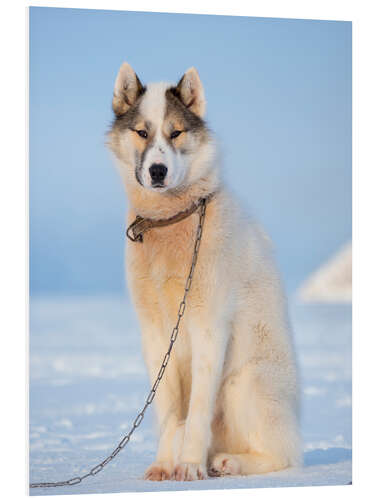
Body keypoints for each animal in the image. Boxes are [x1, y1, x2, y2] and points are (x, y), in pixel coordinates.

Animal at [106, 62, 302, 480]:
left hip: (244, 383)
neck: (172, 220)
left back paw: (227, 461)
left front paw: (189, 466)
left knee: (286, 456)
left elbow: (195, 412)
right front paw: (164, 466)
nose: (158, 170)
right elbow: (169, 414)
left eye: (175, 132)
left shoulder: (209, 326)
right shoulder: (155, 335)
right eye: (142, 132)